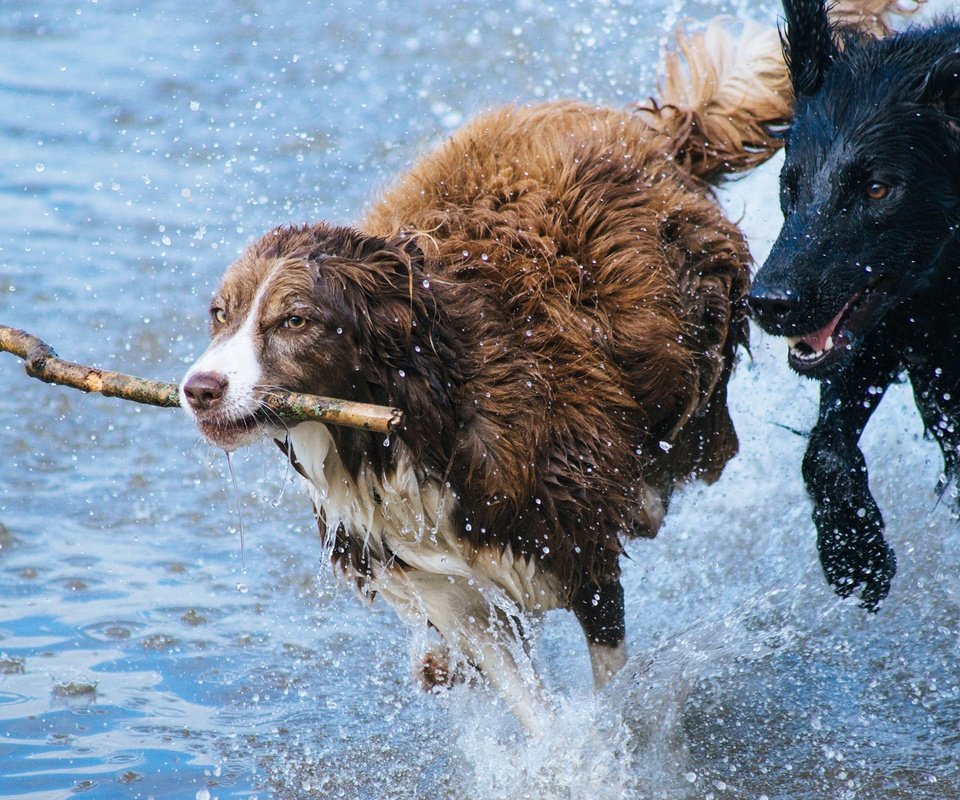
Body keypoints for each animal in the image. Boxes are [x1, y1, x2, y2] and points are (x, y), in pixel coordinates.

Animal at [178, 20, 788, 732]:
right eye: (220, 314)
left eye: (295, 320)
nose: (199, 390)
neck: (406, 421)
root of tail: (658, 136)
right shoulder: (445, 584)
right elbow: (521, 693)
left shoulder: (576, 542)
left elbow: (609, 677)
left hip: (696, 336)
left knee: (693, 435)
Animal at [752, 0, 960, 608]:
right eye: (790, 182)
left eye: (876, 189)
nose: (769, 302)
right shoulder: (886, 328)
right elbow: (823, 450)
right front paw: (854, 554)